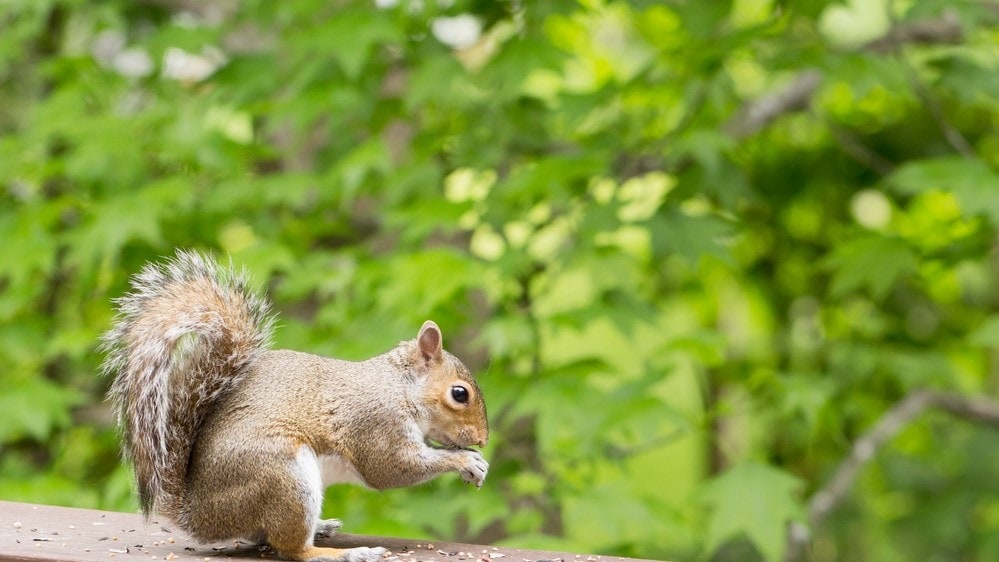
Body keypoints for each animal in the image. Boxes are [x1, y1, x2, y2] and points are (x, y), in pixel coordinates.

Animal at [99, 250, 490, 560]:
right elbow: (391, 468)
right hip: (282, 475)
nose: (483, 440)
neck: (400, 388)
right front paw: (465, 461)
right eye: (459, 394)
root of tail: (199, 515)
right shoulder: (376, 422)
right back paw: (345, 553)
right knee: (290, 549)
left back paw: (322, 527)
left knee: (262, 536)